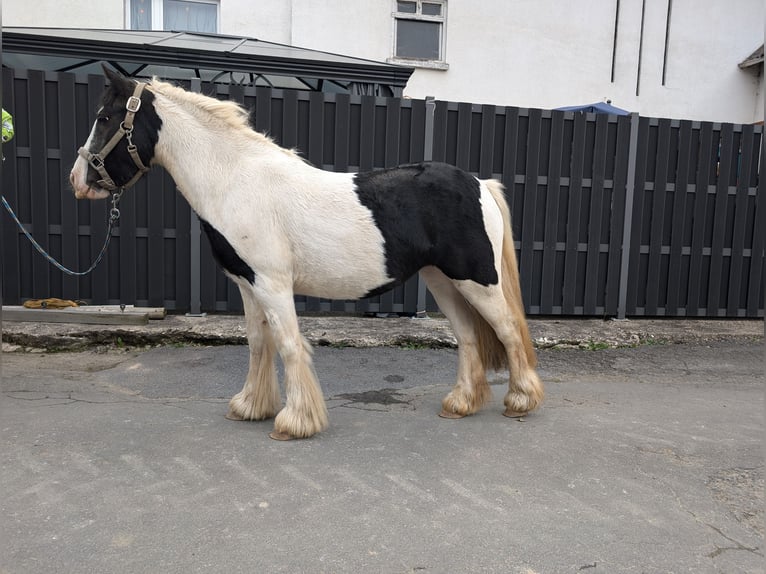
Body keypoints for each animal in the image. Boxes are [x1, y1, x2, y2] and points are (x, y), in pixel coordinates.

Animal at [69, 66, 544, 440]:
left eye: (104, 117)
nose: (78, 180)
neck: (236, 180)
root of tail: (480, 184)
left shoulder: (273, 284)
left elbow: (289, 344)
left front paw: (295, 421)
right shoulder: (248, 286)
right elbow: (258, 344)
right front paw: (250, 406)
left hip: (477, 280)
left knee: (507, 330)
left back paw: (521, 401)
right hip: (443, 281)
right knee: (468, 336)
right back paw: (461, 403)